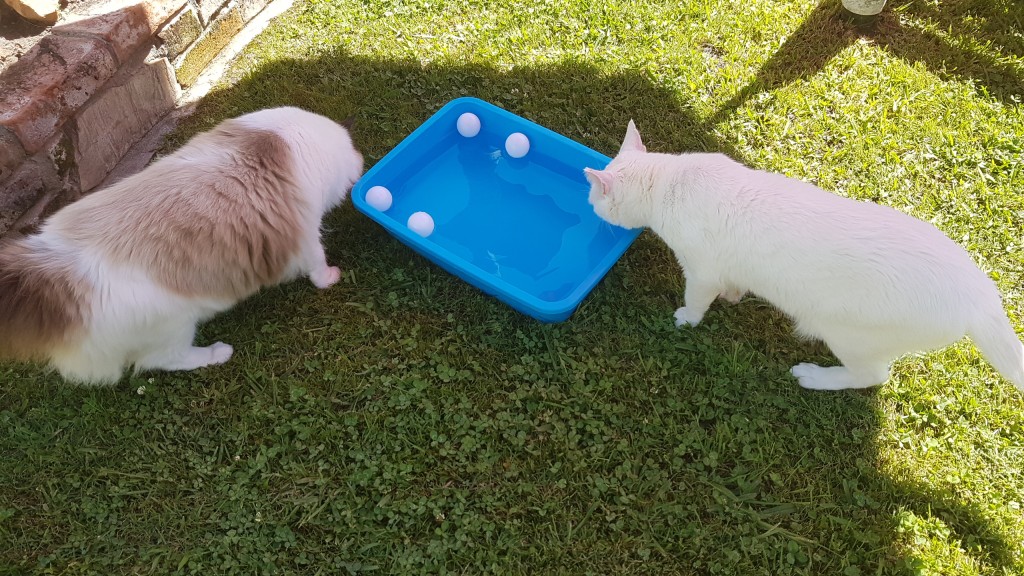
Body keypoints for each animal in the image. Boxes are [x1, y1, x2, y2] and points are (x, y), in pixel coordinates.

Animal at [0, 107, 364, 385]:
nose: (360, 163)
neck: (282, 141)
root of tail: (52, 271)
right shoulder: (305, 233)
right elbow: (318, 264)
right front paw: (330, 277)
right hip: (176, 326)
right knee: (165, 361)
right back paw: (218, 353)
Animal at [585, 120, 1024, 389]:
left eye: (595, 199)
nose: (591, 207)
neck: (666, 182)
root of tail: (981, 296)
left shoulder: (700, 272)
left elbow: (696, 301)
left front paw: (686, 320)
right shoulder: (726, 268)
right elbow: (734, 284)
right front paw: (733, 297)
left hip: (846, 333)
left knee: (872, 376)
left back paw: (814, 377)